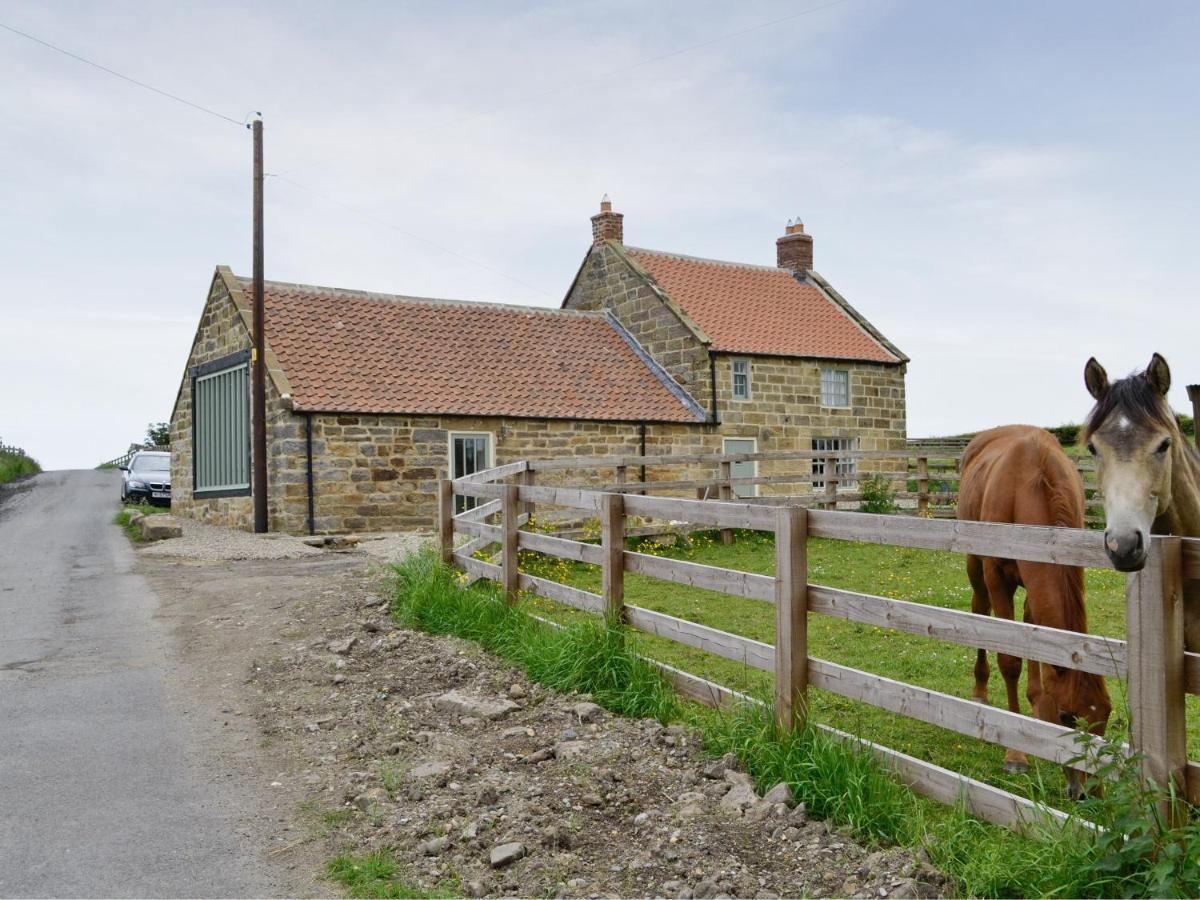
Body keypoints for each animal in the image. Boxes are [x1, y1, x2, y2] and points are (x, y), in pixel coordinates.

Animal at [955, 422, 1113, 796]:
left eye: (1105, 720)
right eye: (1067, 718)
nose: (1087, 793)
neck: (1029, 489)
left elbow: (1034, 640)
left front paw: (1037, 706)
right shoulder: (997, 576)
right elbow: (1010, 660)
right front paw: (1016, 753)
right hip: (975, 565)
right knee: (979, 611)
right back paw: (979, 691)